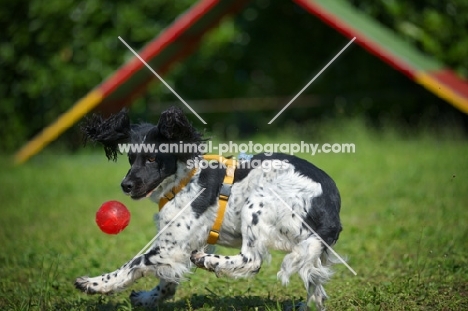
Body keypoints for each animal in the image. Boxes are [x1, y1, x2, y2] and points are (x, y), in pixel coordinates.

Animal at [75, 107, 342, 311]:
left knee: (252, 260)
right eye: (131, 159)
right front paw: (148, 298)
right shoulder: (181, 245)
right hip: (308, 247)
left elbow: (134, 263)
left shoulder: (170, 246)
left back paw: (208, 260)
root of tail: (330, 205)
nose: (126, 185)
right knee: (316, 288)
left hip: (257, 203)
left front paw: (94, 283)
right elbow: (166, 281)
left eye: (151, 158)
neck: (183, 180)